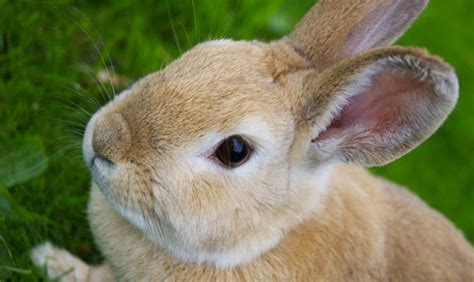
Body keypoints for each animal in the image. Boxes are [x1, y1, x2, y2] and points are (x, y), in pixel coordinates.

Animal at [30, 0, 474, 280]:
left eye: (234, 151)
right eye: (198, 54)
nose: (102, 140)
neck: (266, 238)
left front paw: (47, 259)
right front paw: (51, 261)